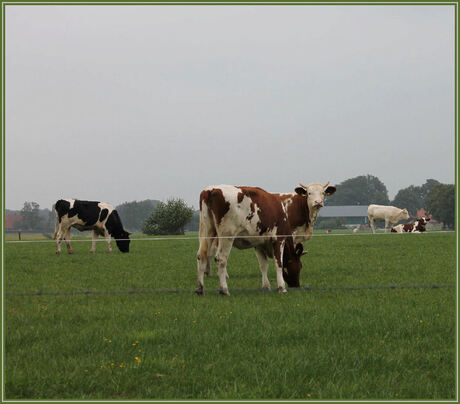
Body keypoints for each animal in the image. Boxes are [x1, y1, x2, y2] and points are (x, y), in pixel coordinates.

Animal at [196, 181, 336, 296]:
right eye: (299, 266)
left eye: (323, 193)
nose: (296, 285)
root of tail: (211, 189)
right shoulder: (279, 239)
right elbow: (278, 263)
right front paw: (281, 287)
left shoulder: (258, 243)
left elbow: (263, 265)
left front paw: (266, 286)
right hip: (226, 236)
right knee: (220, 258)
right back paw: (224, 289)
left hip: (207, 231)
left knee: (202, 255)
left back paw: (200, 288)